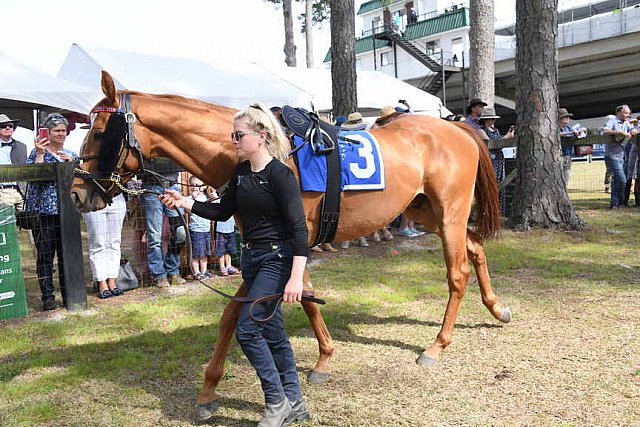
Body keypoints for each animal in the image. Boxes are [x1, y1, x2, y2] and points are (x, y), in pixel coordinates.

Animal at [71, 71, 510, 422]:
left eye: (98, 132)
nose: (77, 193)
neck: (257, 155)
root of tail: (458, 128)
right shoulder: (266, 247)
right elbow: (239, 312)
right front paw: (210, 389)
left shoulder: (288, 241)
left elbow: (290, 300)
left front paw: (320, 361)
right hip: (423, 211)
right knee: (476, 248)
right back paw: (496, 308)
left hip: (449, 211)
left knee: (457, 272)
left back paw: (437, 345)